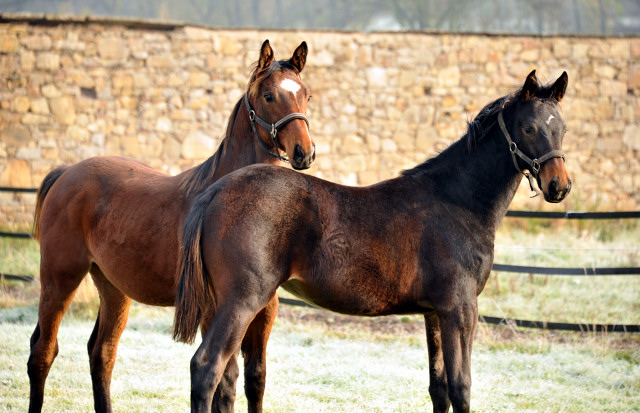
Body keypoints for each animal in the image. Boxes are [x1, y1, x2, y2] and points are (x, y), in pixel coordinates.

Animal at [28, 39, 316, 412]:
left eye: (306, 94)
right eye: (268, 95)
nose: (304, 152)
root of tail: (67, 173)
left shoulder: (264, 311)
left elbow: (256, 379)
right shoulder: (216, 310)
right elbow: (225, 382)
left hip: (113, 287)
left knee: (102, 352)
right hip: (59, 277)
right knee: (43, 352)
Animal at [174, 71, 568, 412]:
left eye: (562, 128)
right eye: (529, 127)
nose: (559, 186)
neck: (456, 200)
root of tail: (217, 191)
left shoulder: (434, 313)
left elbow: (439, 387)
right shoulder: (460, 309)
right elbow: (462, 386)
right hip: (242, 300)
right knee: (207, 367)